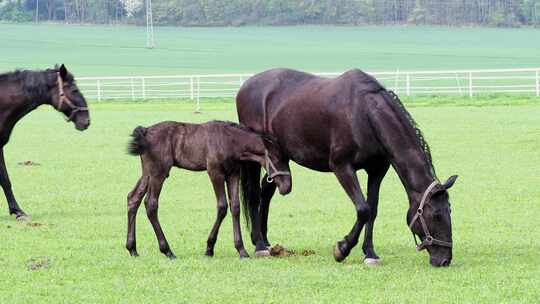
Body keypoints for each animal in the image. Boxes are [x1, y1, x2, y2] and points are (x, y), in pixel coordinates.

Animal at [125, 120, 292, 258]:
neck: (229, 140)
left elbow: (235, 207)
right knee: (151, 204)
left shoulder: (233, 174)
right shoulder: (214, 172)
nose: (287, 187)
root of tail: (145, 131)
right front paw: (209, 249)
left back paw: (132, 249)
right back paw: (167, 250)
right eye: (277, 159)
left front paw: (241, 250)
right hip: (159, 172)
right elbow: (222, 206)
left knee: (133, 198)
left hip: (148, 172)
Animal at [238, 68, 458, 266]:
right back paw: (259, 245)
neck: (365, 113)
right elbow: (363, 209)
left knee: (266, 191)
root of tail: (245, 86)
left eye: (449, 211)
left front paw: (370, 253)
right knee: (253, 195)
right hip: (256, 159)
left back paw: (265, 241)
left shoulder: (377, 171)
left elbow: (373, 209)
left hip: (278, 158)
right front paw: (342, 249)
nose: (445, 260)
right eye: (436, 215)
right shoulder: (342, 167)